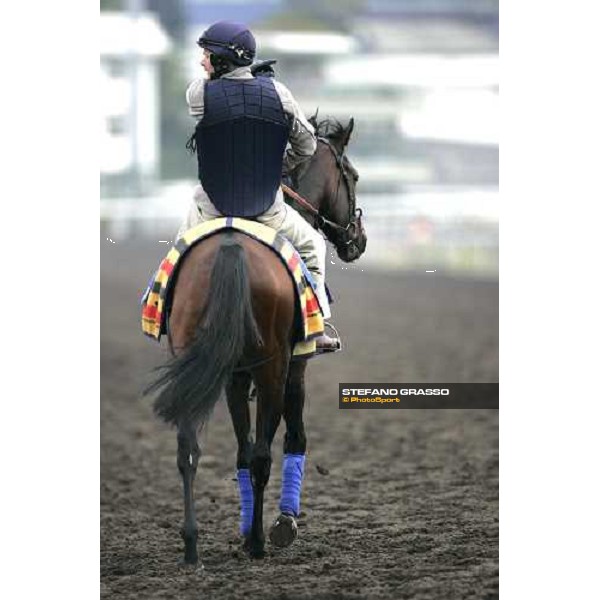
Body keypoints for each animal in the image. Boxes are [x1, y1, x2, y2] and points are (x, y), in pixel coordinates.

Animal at [145, 116, 366, 564]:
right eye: (351, 175)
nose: (360, 239)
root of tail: (232, 247)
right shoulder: (293, 368)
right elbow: (293, 438)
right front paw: (283, 524)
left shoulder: (234, 375)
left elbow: (240, 450)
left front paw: (247, 528)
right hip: (271, 368)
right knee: (263, 454)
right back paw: (261, 543)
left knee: (188, 448)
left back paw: (192, 545)